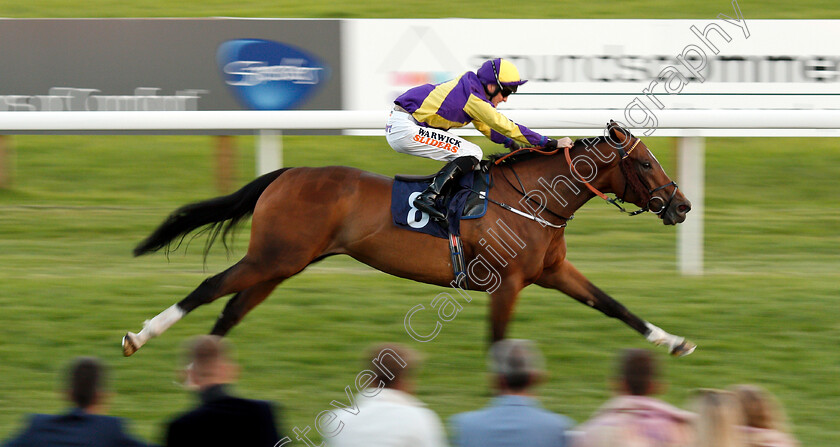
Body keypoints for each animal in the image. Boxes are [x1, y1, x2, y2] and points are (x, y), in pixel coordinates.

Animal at [123, 121, 696, 356]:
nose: (683, 205)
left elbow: (615, 306)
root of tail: (287, 173)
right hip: (272, 256)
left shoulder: (553, 272)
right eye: (646, 163)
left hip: (283, 263)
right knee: (208, 290)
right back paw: (141, 336)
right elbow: (498, 342)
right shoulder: (508, 283)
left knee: (230, 310)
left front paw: (674, 341)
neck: (535, 199)